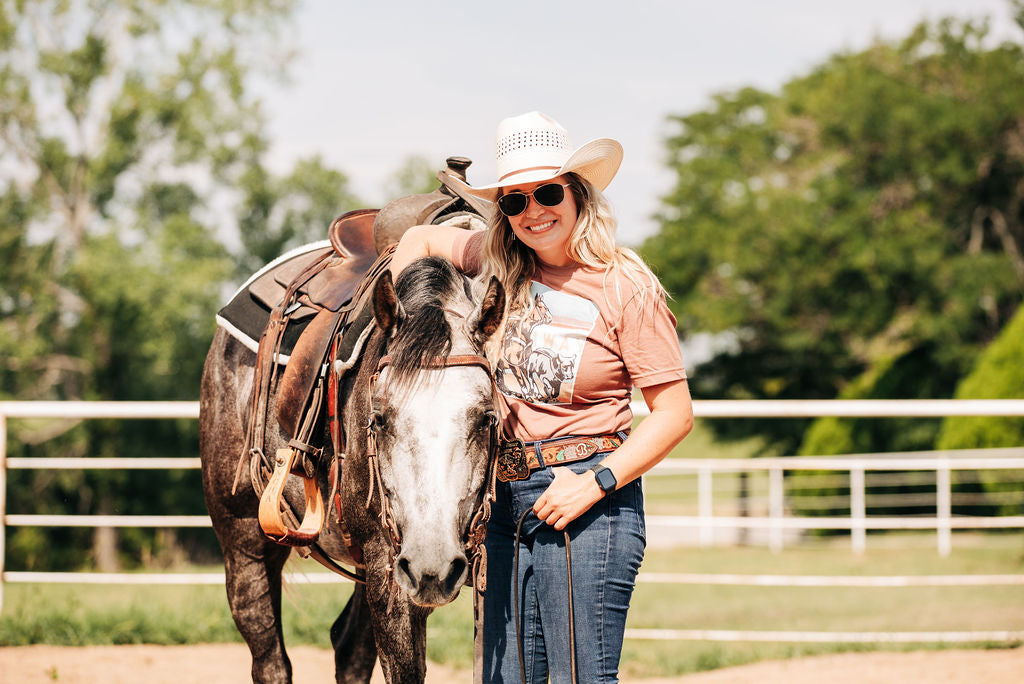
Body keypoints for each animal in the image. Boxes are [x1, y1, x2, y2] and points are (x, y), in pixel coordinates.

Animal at [198, 258, 503, 684]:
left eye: (486, 418)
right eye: (379, 419)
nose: (432, 564)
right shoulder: (390, 567)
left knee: (350, 650)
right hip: (245, 544)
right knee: (271, 660)